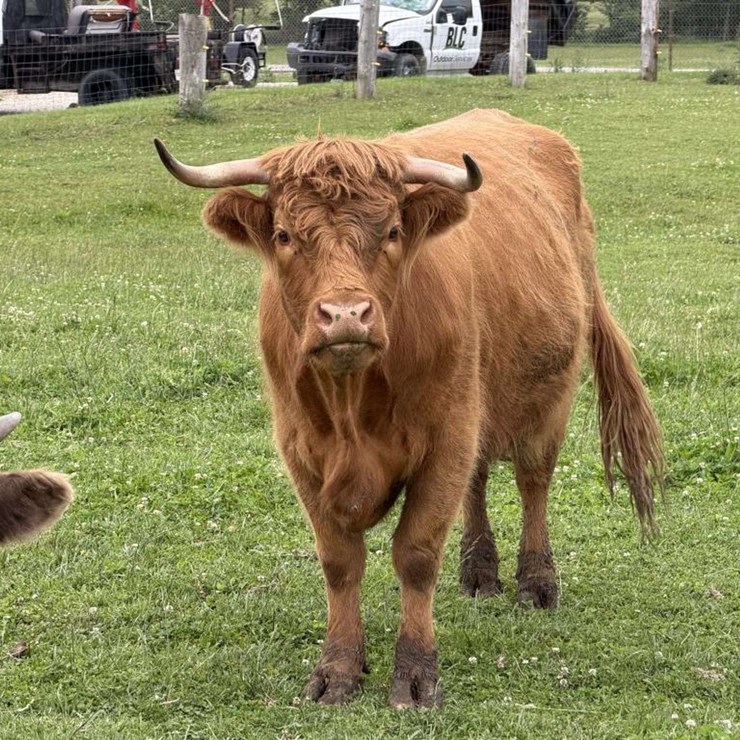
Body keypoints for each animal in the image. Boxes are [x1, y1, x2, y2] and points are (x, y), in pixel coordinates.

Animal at [154, 108, 664, 708]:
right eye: (283, 235)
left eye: (393, 232)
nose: (346, 315)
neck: (352, 408)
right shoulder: (302, 450)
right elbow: (339, 561)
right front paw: (338, 669)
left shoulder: (445, 438)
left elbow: (416, 554)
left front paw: (416, 674)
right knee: (479, 482)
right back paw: (478, 573)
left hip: (547, 397)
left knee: (533, 482)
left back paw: (536, 583)